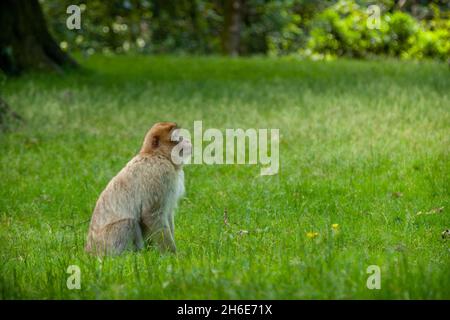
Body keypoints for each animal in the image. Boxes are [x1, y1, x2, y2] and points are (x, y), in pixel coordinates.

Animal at [85, 121, 191, 256]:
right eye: (179, 138)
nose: (187, 141)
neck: (157, 155)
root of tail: (89, 251)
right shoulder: (160, 173)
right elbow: (152, 215)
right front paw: (173, 254)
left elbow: (167, 213)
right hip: (107, 244)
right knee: (128, 222)